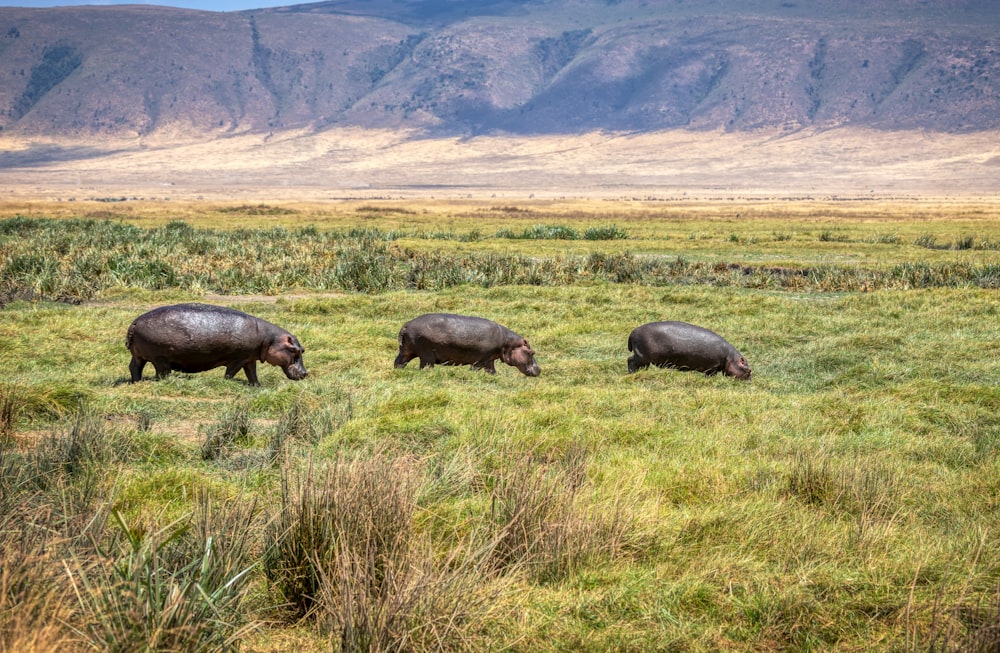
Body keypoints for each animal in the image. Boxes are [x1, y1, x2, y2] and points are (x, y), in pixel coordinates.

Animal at [129, 304, 308, 384]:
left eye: (303, 349)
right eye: (295, 350)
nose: (306, 373)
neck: (269, 339)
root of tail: (134, 323)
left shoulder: (249, 358)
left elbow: (252, 373)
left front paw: (257, 385)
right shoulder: (239, 358)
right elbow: (231, 372)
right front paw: (227, 382)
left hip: (138, 355)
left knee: (134, 367)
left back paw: (136, 382)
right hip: (160, 359)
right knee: (161, 372)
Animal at [394, 312, 544, 376]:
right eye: (532, 352)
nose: (539, 369)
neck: (508, 343)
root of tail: (406, 325)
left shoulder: (489, 359)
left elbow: (492, 371)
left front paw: (495, 377)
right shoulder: (481, 359)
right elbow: (475, 368)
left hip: (407, 351)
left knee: (398, 362)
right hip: (426, 355)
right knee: (425, 366)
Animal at [624, 320, 752, 380]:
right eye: (749, 370)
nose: (750, 382)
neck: (730, 358)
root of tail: (632, 332)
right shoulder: (713, 366)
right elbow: (711, 374)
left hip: (645, 358)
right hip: (641, 356)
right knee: (630, 360)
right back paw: (632, 373)